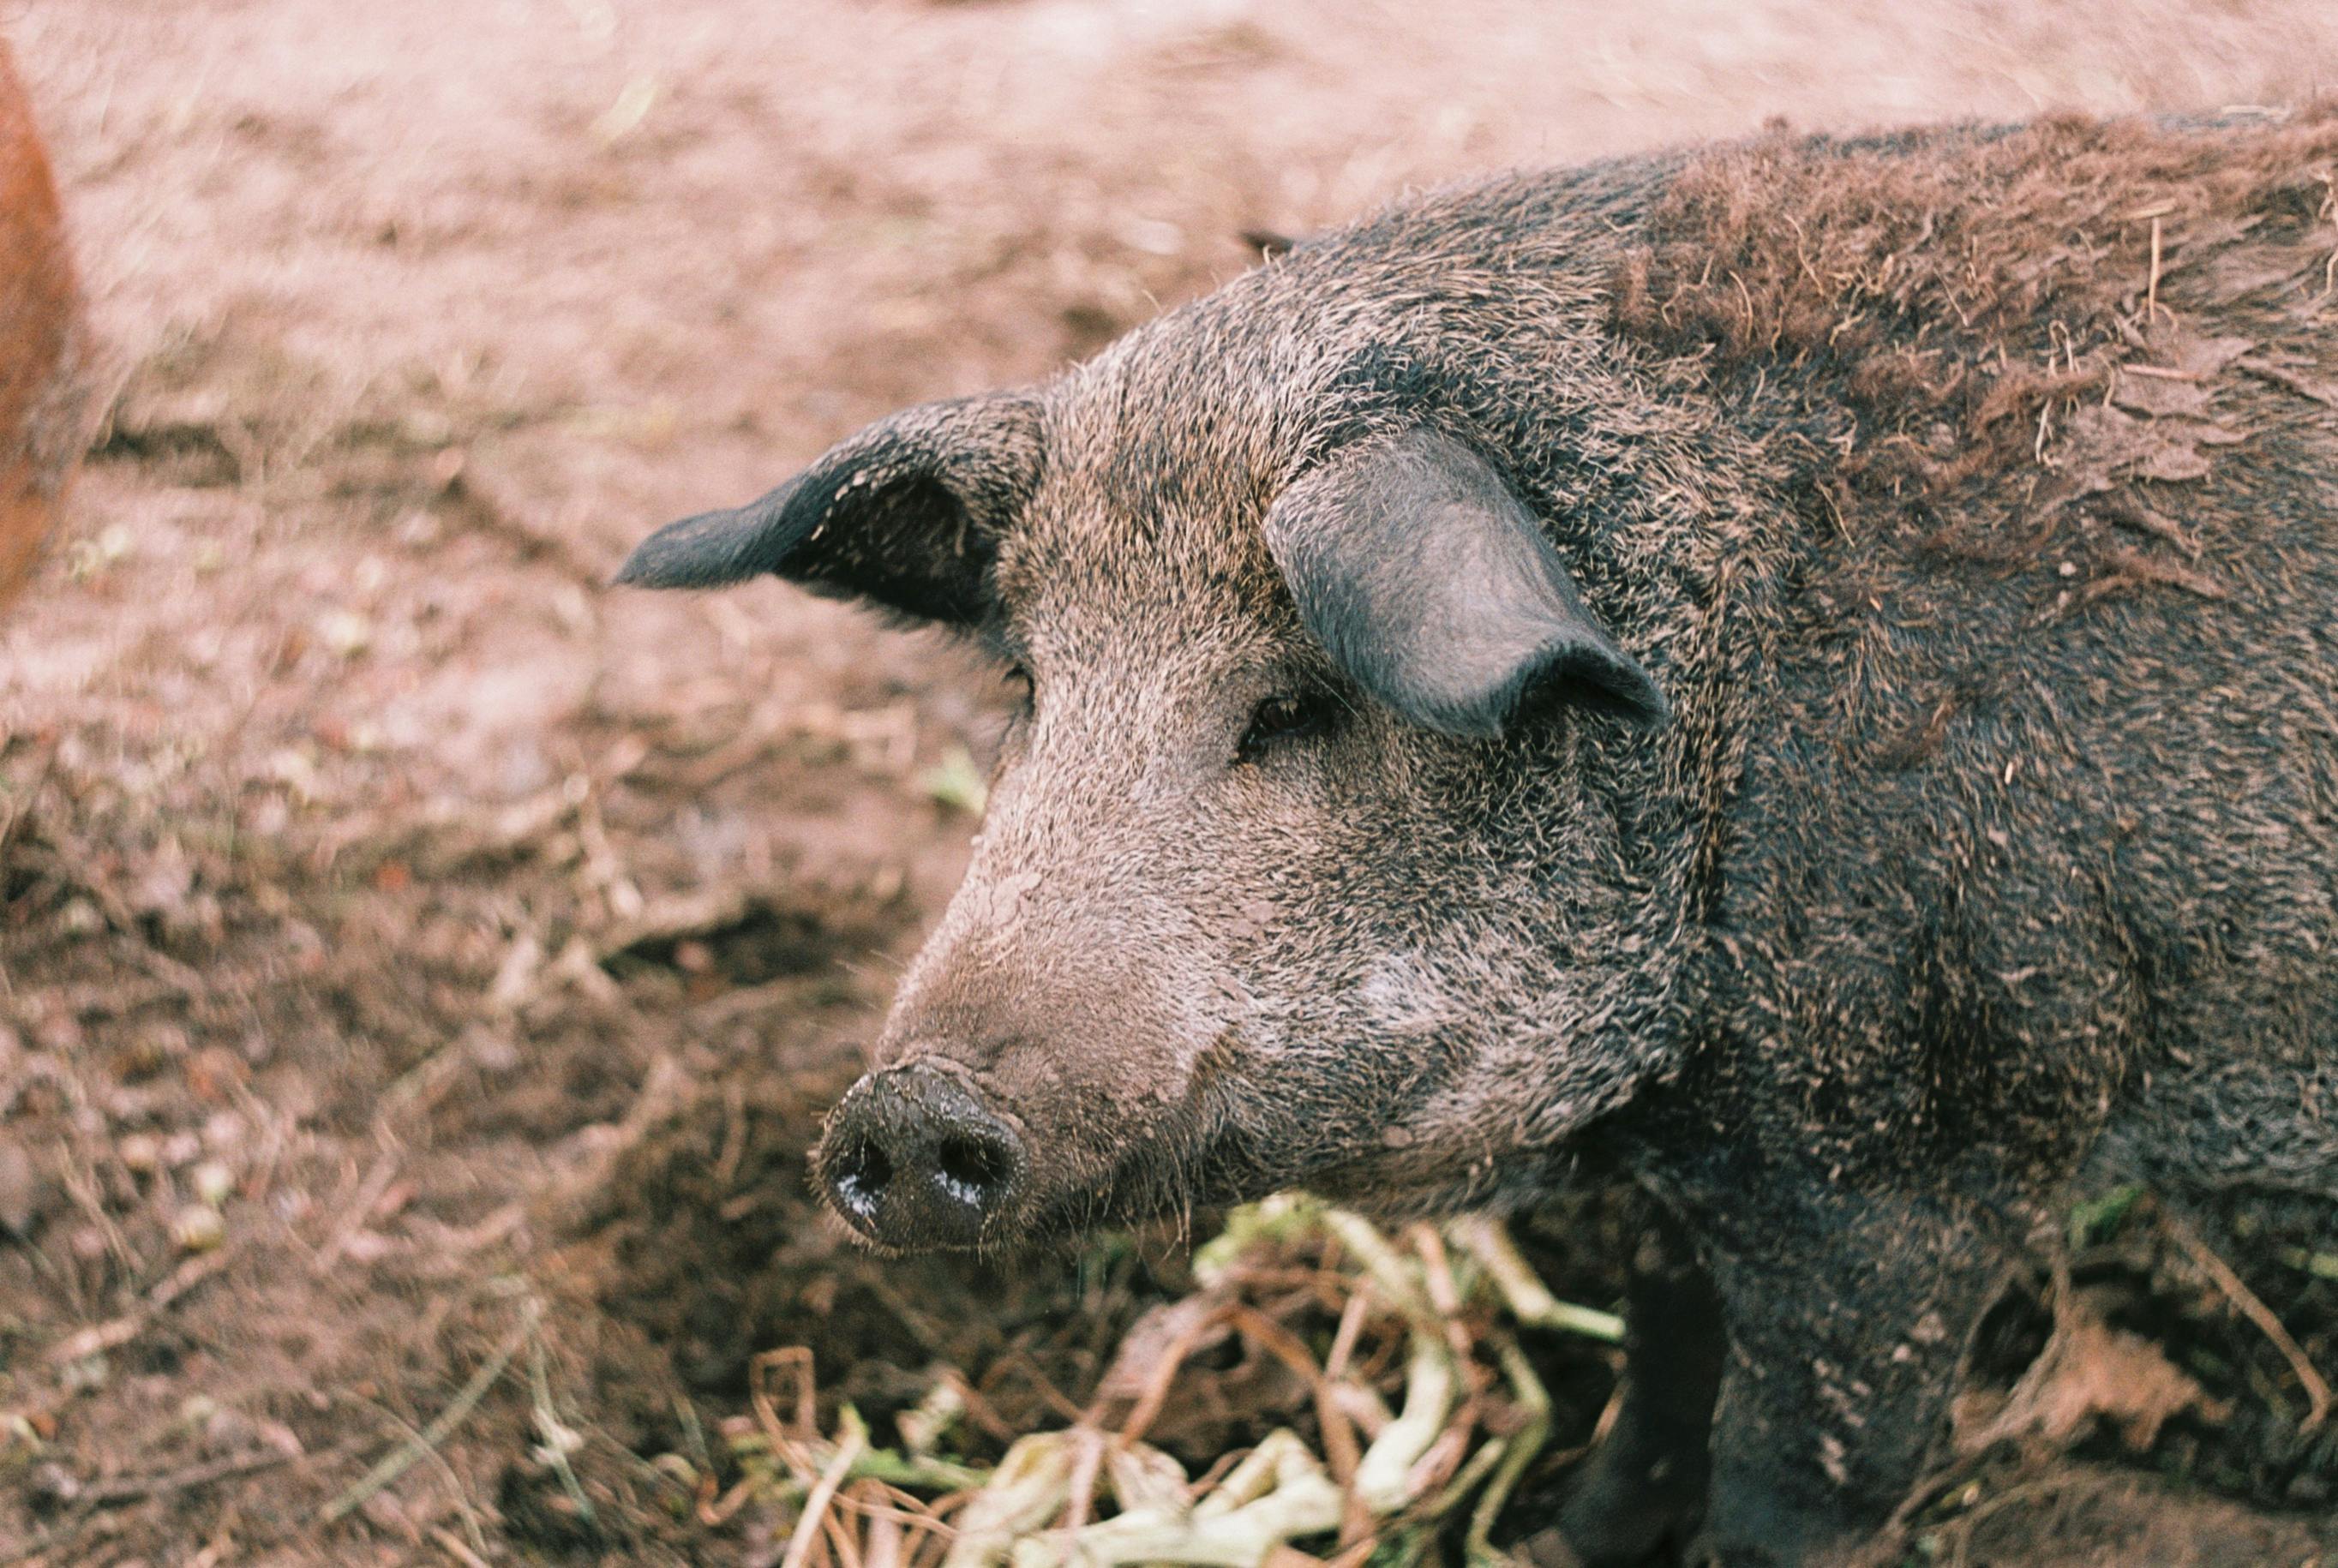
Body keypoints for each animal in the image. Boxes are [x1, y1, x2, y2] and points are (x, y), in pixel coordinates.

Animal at [621, 110, 2338, 1565]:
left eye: (1296, 704)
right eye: (1032, 685)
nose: (904, 1110)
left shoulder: (1926, 1152)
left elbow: (1795, 1480)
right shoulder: (1695, 1178)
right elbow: (1659, 1367)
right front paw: (1566, 1540)